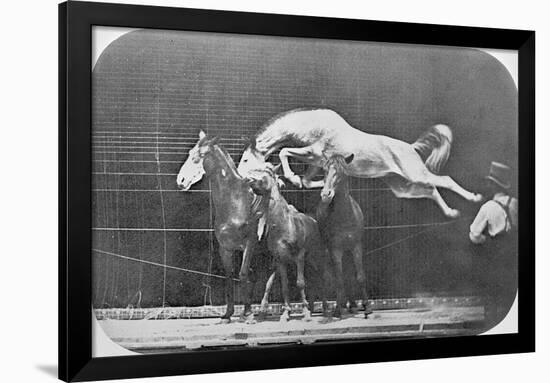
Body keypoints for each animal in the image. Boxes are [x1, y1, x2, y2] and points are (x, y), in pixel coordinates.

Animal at [177, 132, 270, 324]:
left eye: (201, 155)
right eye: (190, 153)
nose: (181, 180)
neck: (235, 202)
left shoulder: (249, 244)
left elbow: (243, 274)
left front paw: (248, 314)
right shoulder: (225, 248)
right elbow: (230, 276)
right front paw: (228, 314)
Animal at [238, 108, 484, 219]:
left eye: (246, 159)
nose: (241, 177)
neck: (314, 125)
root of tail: (412, 147)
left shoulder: (312, 153)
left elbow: (284, 152)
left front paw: (291, 177)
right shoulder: (316, 162)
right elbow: (308, 181)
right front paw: (304, 182)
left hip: (415, 174)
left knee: (445, 180)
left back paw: (474, 198)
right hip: (402, 187)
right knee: (432, 190)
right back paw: (451, 212)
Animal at [247, 166, 328, 322]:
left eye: (266, 175)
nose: (250, 182)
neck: (284, 226)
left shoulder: (299, 255)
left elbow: (300, 283)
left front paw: (306, 313)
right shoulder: (280, 259)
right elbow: (285, 285)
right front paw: (286, 314)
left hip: (316, 257)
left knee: (322, 277)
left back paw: (324, 309)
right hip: (307, 261)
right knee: (313, 280)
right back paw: (313, 307)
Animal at [316, 154, 374, 320]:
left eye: (341, 171)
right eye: (324, 170)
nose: (326, 194)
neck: (346, 217)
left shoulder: (356, 246)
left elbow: (359, 276)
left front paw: (367, 308)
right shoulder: (335, 249)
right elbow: (339, 279)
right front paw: (337, 310)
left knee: (348, 273)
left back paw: (352, 305)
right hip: (326, 249)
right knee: (326, 275)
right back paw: (327, 308)